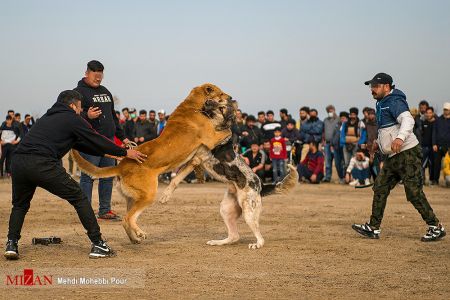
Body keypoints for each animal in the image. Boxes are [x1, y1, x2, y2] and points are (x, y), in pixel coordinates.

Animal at [72, 83, 234, 243]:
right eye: (220, 93)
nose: (231, 97)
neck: (193, 105)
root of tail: (121, 165)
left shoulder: (196, 157)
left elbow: (177, 178)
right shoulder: (211, 137)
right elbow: (229, 131)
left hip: (133, 198)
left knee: (126, 220)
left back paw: (134, 239)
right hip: (148, 195)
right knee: (128, 218)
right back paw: (140, 233)